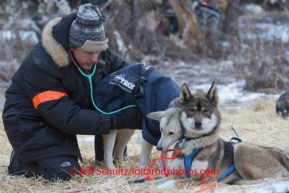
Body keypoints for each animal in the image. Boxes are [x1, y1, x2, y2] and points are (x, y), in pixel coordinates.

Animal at [146, 82, 288, 189]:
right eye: (191, 110)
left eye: (206, 111)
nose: (198, 123)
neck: (193, 142)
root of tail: (283, 156)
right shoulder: (177, 173)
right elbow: (154, 181)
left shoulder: (202, 177)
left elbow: (173, 182)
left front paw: (162, 187)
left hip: (241, 149)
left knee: (269, 180)